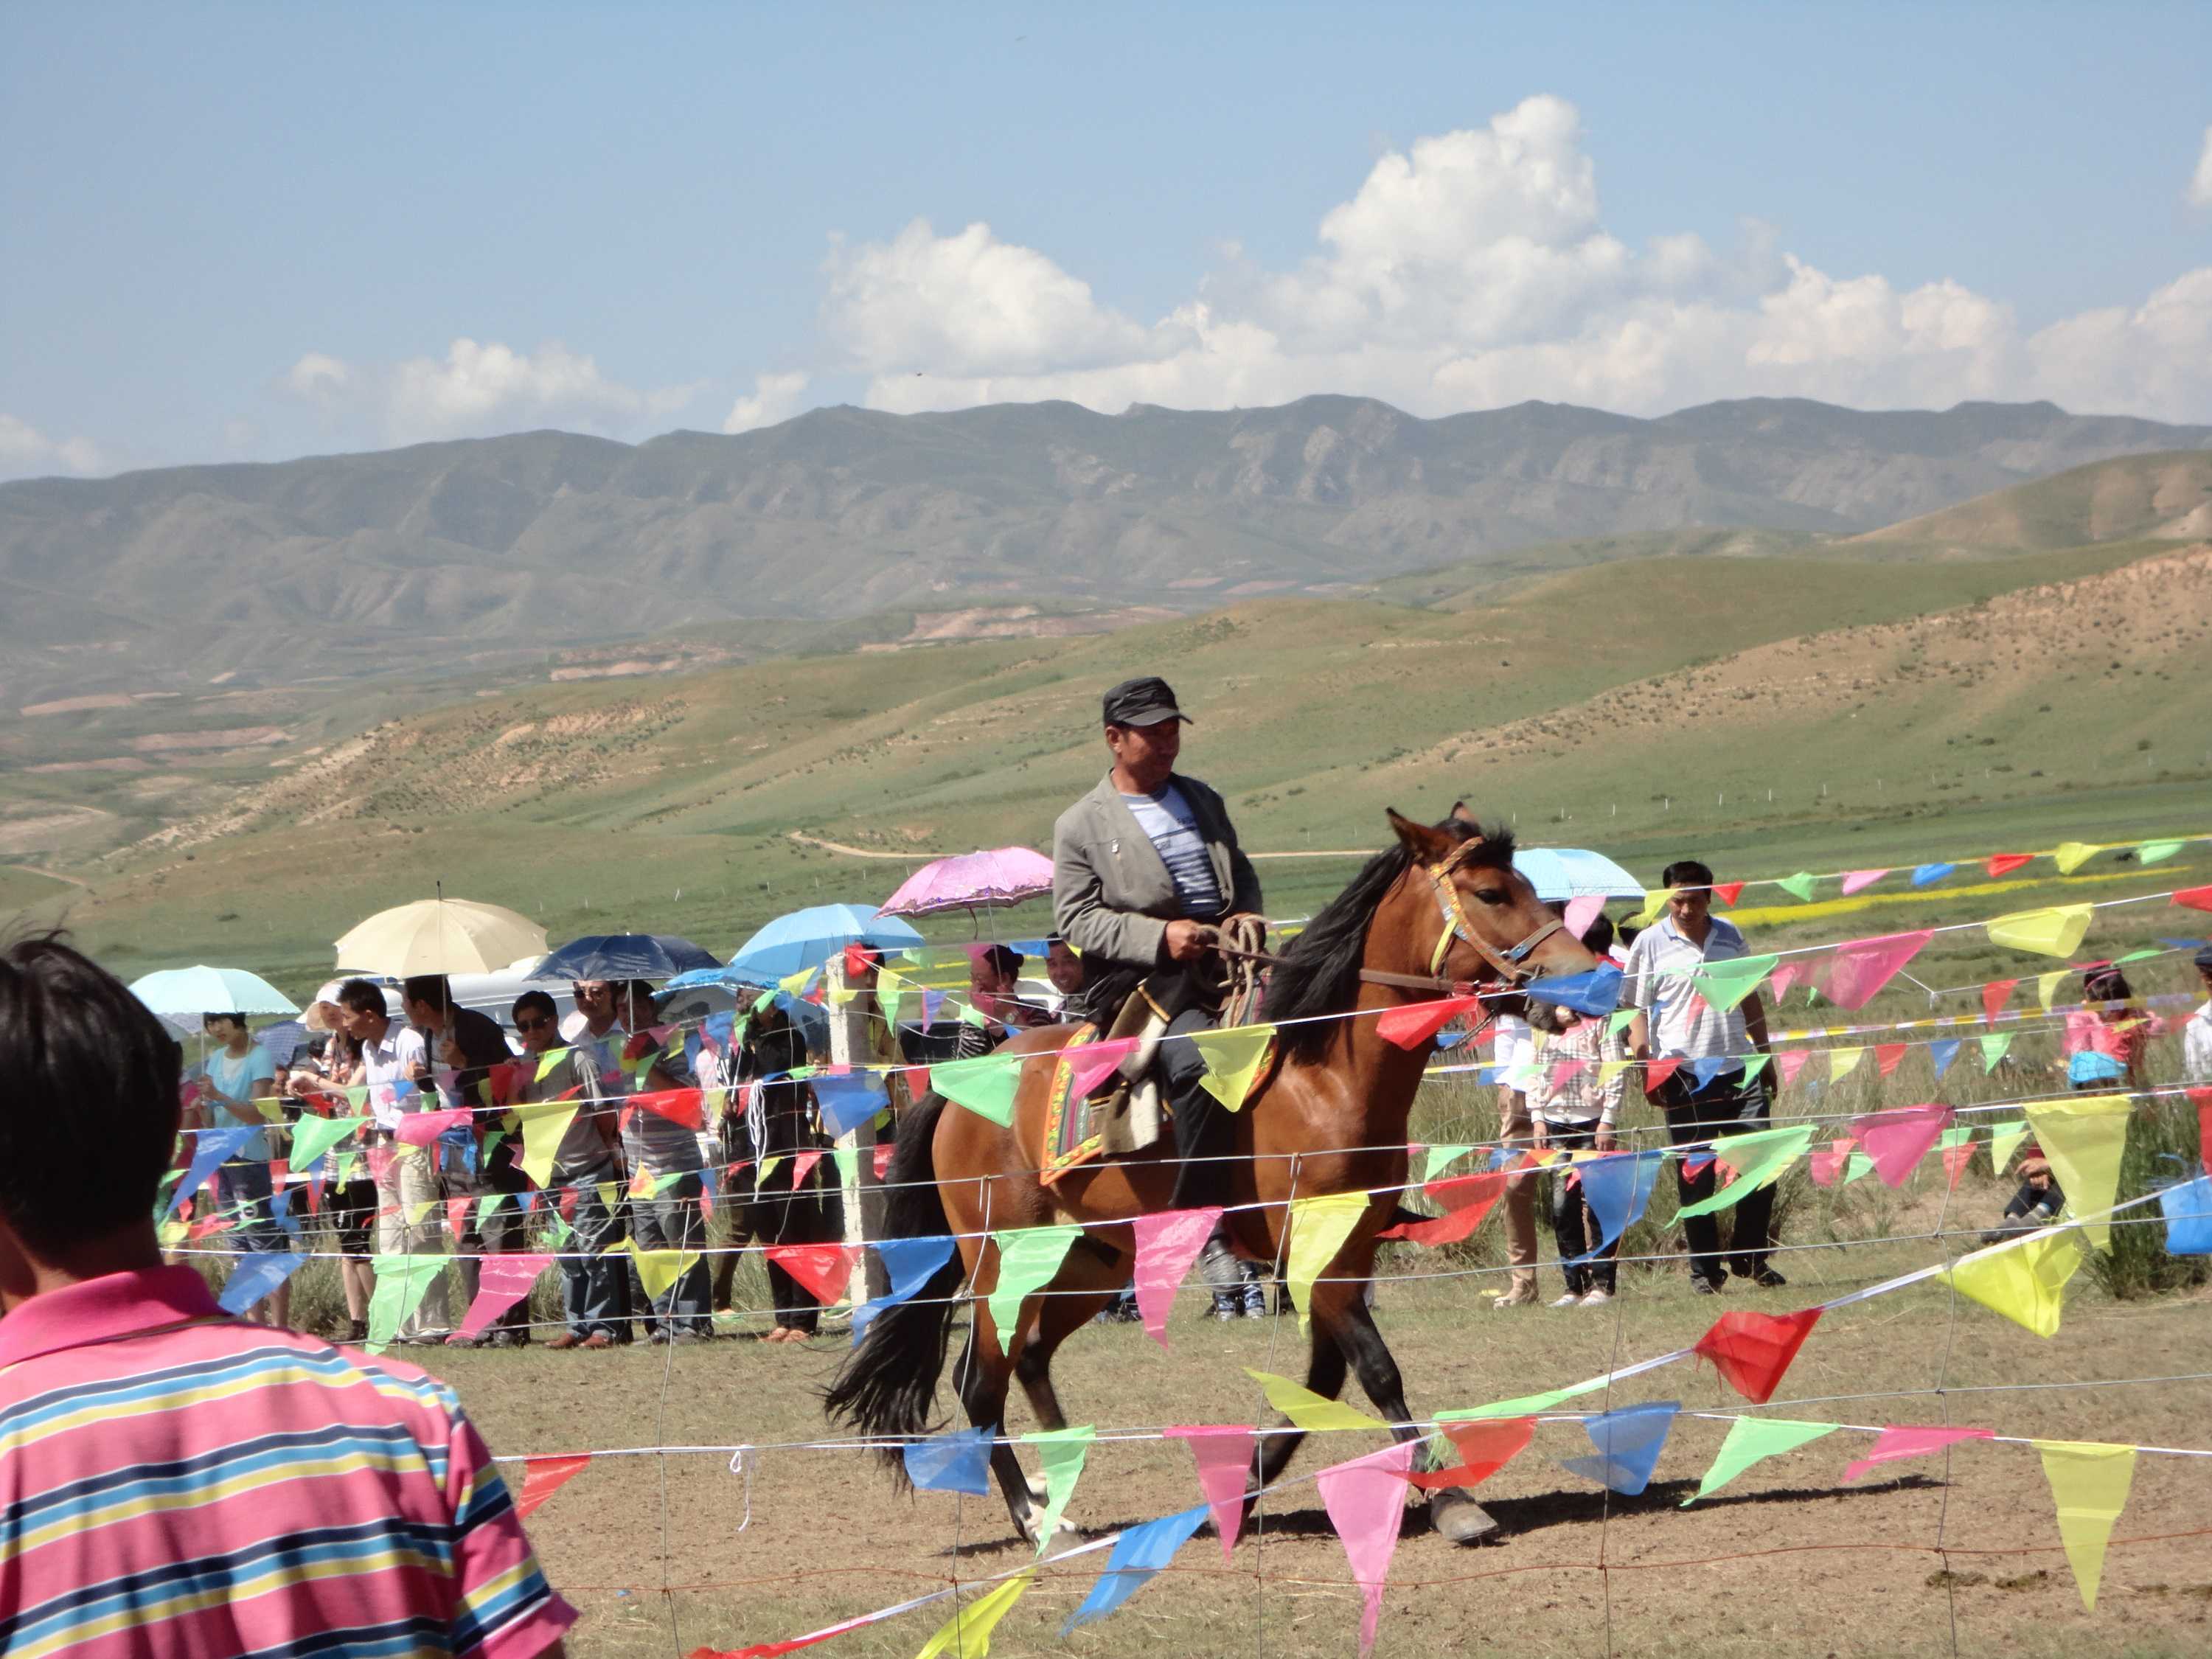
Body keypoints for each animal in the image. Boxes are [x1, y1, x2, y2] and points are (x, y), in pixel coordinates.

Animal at [824, 805, 1598, 1546]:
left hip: (1092, 1260)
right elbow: (1376, 1370)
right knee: (980, 1382)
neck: (1324, 1076)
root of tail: (958, 1087)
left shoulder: (1342, 1254)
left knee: (1032, 1358)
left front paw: (1241, 1489)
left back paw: (1061, 1489)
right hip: (1004, 1262)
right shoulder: (1317, 1256)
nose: (1584, 974)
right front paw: (1453, 1503)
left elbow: (1324, 1380)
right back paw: (1035, 1518)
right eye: (1492, 893)